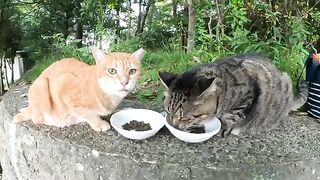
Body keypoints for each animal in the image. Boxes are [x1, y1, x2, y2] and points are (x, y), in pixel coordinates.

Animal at [13, 46, 144, 131]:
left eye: (132, 71)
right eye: (112, 71)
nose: (124, 82)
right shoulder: (64, 85)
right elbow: (85, 112)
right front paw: (98, 123)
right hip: (41, 86)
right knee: (37, 118)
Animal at [159, 53, 308, 136]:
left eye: (184, 118)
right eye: (169, 112)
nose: (174, 125)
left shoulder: (248, 94)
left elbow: (232, 114)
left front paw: (225, 126)